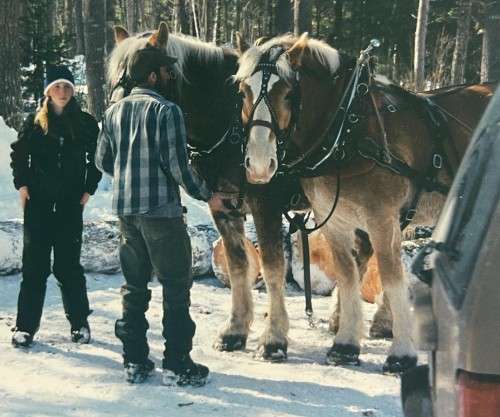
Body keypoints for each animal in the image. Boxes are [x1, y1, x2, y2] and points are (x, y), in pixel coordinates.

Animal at [234, 31, 492, 370]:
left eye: (289, 94)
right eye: (243, 91)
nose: (260, 165)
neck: (348, 129)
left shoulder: (382, 219)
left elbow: (391, 276)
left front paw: (402, 353)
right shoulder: (334, 220)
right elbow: (347, 276)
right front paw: (345, 344)